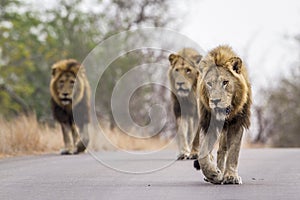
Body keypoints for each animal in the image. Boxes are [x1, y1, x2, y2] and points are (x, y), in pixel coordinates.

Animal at [193, 45, 252, 184]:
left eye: (225, 82)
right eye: (209, 83)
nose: (215, 101)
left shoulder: (237, 123)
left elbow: (233, 152)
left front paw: (230, 177)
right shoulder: (206, 123)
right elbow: (203, 155)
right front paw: (213, 174)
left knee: (222, 149)